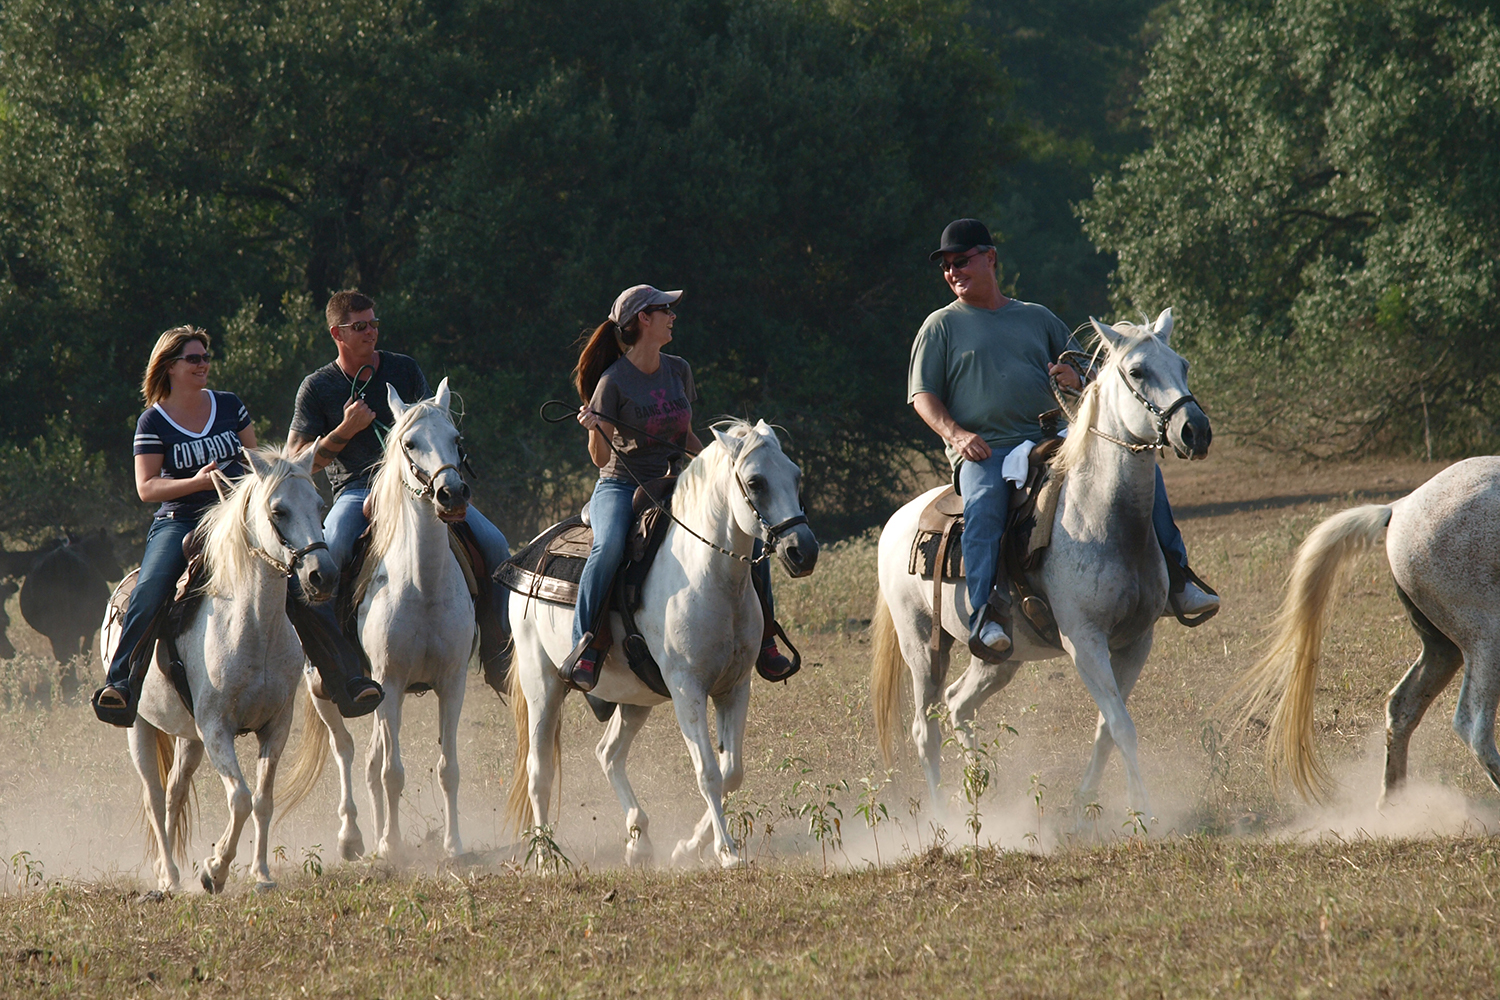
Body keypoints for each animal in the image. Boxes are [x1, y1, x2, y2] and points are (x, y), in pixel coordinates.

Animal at [99, 446, 337, 893]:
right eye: (278, 511)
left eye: (319, 505)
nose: (322, 576)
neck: (251, 627)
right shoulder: (216, 729)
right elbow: (239, 798)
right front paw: (215, 869)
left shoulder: (275, 726)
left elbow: (262, 799)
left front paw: (261, 874)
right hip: (140, 726)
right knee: (154, 797)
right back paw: (171, 878)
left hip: (188, 737)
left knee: (174, 792)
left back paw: (169, 870)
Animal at [283, 379, 477, 863]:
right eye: (410, 443)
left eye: (457, 440)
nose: (452, 494)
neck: (423, 587)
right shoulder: (388, 682)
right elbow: (392, 772)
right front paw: (390, 846)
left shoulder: (452, 683)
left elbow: (448, 768)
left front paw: (454, 846)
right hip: (327, 692)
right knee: (347, 752)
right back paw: (354, 838)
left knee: (369, 760)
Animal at [504, 419, 816, 869]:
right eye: (756, 482)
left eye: (795, 476)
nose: (803, 551)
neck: (710, 577)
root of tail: (528, 554)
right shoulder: (688, 689)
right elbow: (708, 772)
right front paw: (726, 851)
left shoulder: (734, 688)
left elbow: (731, 772)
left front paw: (690, 845)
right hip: (542, 686)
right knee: (539, 771)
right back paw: (546, 858)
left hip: (634, 698)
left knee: (608, 753)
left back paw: (639, 840)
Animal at [876, 310, 1212, 821]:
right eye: (1137, 372)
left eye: (1183, 365)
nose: (1195, 430)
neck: (1099, 516)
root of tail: (895, 523)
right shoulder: (1084, 641)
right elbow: (1122, 726)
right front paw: (1142, 812)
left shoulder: (1136, 641)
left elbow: (1107, 729)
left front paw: (1083, 806)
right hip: (923, 649)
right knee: (925, 728)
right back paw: (942, 816)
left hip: (999, 657)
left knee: (958, 706)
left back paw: (980, 790)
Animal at [1236, 458, 1500, 809]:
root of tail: (1399, 507)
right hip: (1487, 639)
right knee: (1473, 728)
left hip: (1446, 649)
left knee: (1403, 706)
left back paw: (1393, 805)